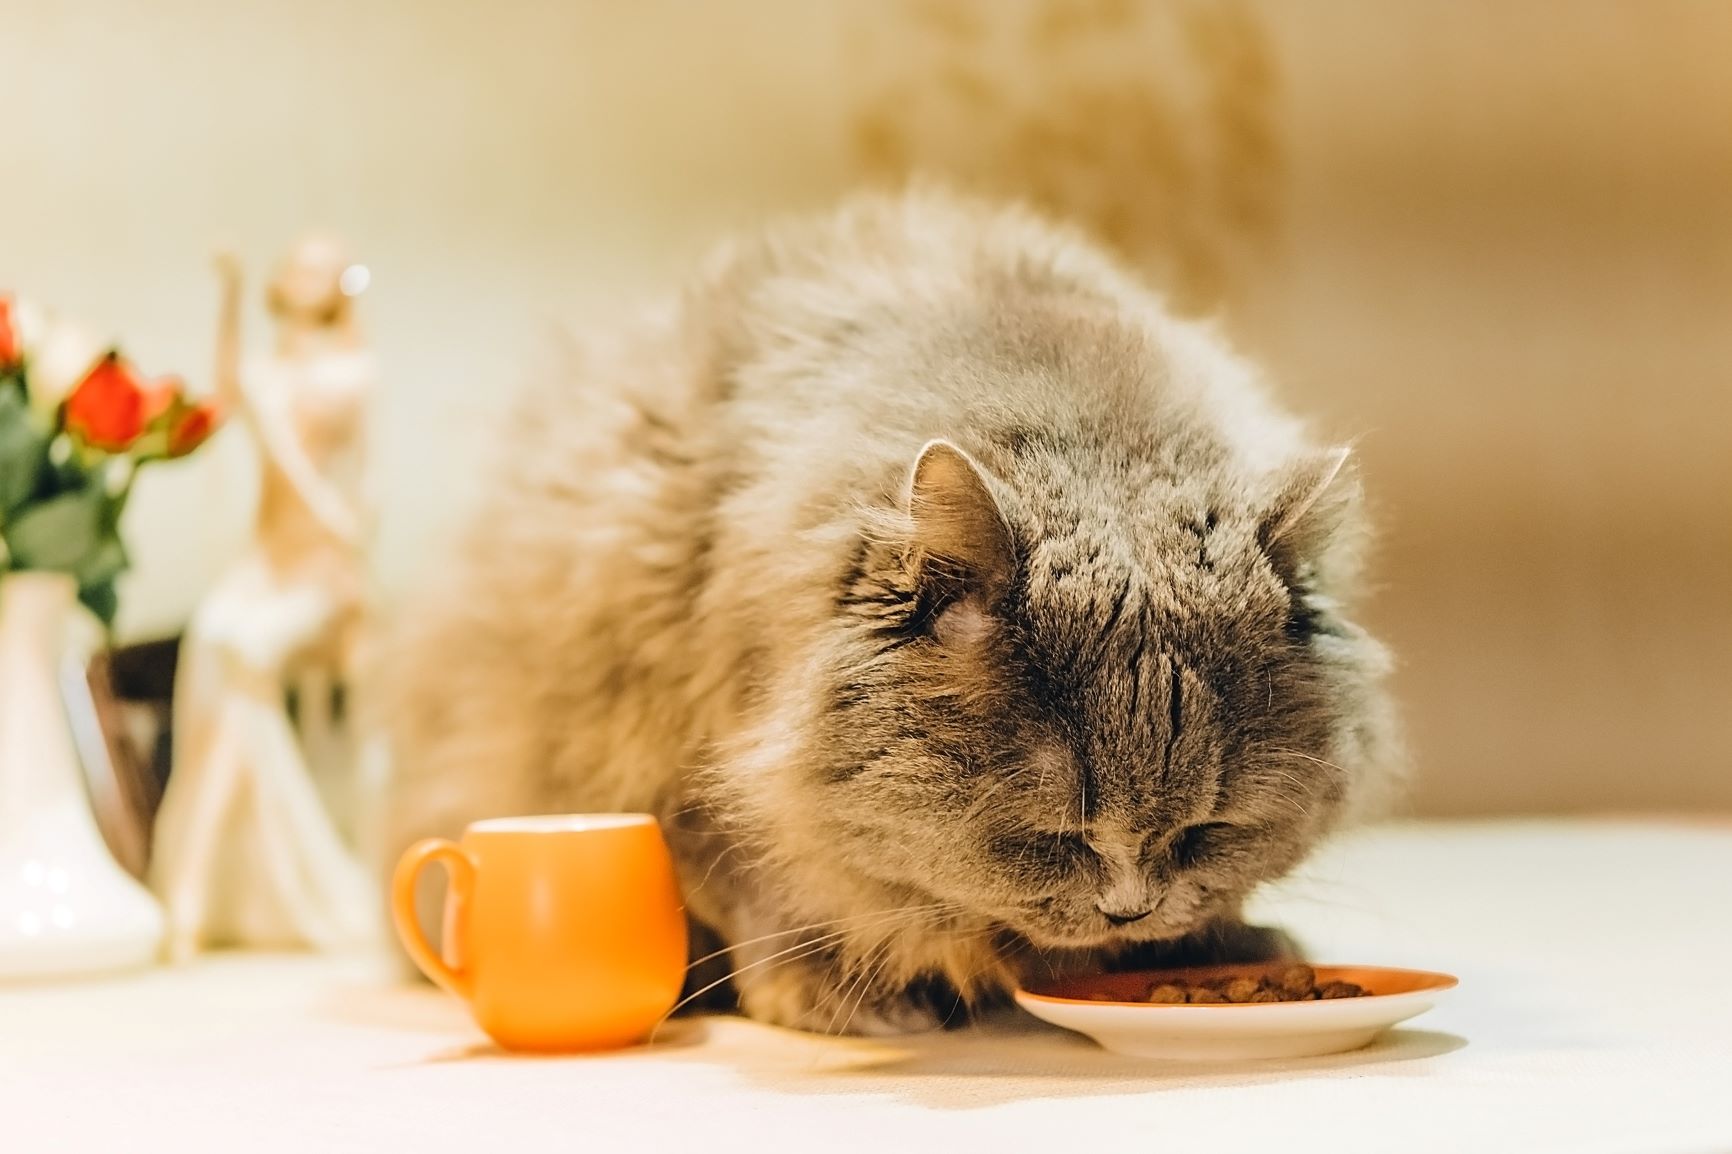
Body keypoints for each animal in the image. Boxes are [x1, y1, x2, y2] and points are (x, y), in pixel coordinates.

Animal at [382, 188, 1406, 1032]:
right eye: (1055, 837)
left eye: (1208, 830)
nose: (1131, 908)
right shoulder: (674, 744)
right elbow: (764, 886)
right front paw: (838, 991)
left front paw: (1224, 945)